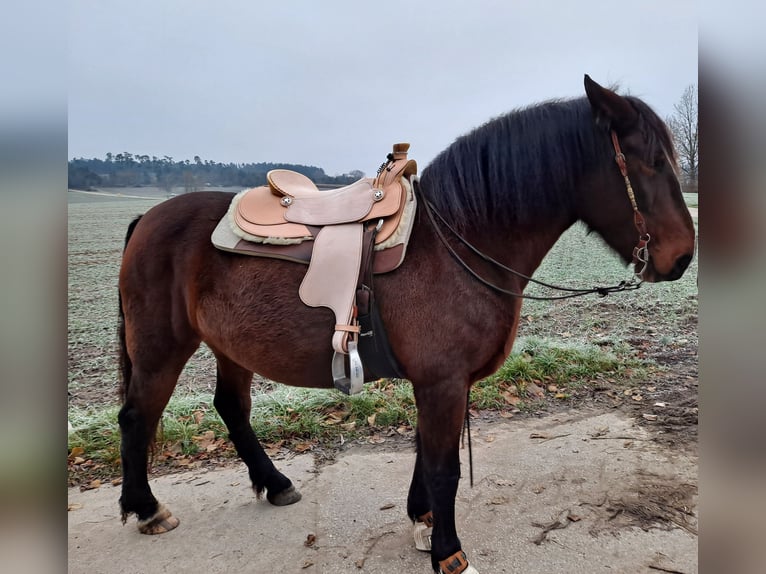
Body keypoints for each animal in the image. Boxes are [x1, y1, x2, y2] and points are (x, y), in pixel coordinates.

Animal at [116, 75, 695, 574]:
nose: (682, 258)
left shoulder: (441, 383)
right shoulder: (442, 381)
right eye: (648, 161)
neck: (458, 240)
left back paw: (274, 483)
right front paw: (449, 553)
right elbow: (444, 467)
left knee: (231, 408)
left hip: (230, 346)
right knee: (136, 415)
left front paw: (422, 521)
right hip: (162, 347)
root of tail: (147, 219)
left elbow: (425, 454)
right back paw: (146, 508)